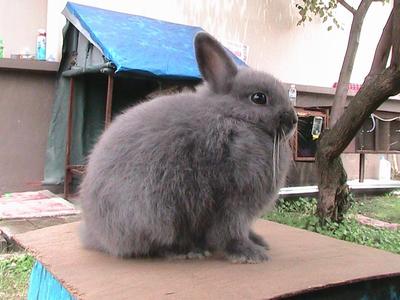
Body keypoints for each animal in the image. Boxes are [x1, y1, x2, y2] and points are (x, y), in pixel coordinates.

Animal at [79, 31, 296, 264]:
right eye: (259, 98)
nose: (293, 120)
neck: (234, 117)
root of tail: (95, 235)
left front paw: (258, 242)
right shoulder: (234, 200)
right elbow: (231, 230)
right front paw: (250, 254)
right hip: (156, 212)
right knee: (158, 244)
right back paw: (188, 250)